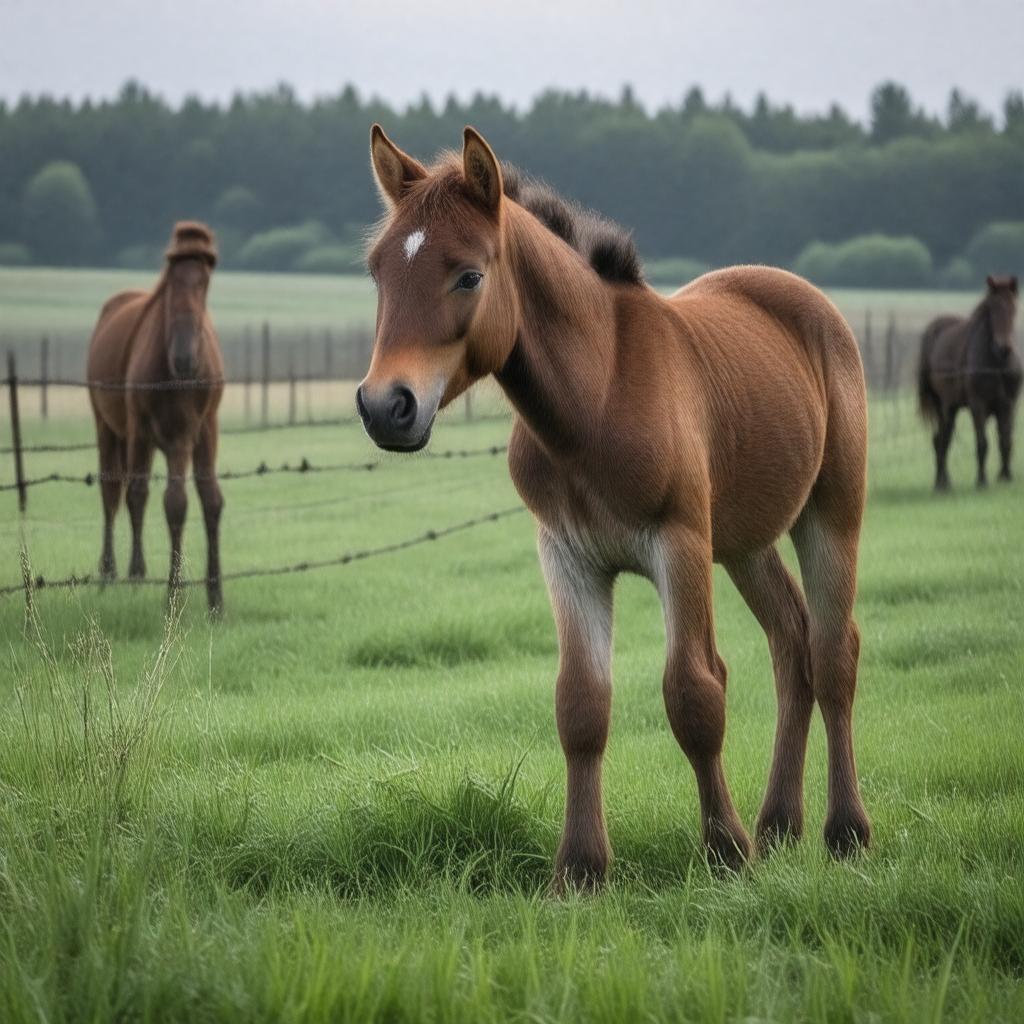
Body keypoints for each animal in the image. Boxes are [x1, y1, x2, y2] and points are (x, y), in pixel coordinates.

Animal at [86, 221, 225, 614]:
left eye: (206, 276)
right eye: (172, 272)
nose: (184, 357)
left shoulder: (201, 431)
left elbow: (209, 500)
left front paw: (215, 597)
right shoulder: (147, 432)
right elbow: (162, 499)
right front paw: (170, 591)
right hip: (112, 429)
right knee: (115, 491)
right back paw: (115, 572)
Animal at [357, 125, 871, 887]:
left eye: (469, 275)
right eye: (378, 272)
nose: (385, 407)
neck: (595, 399)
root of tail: (800, 294)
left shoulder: (679, 543)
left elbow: (695, 693)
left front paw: (725, 852)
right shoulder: (567, 555)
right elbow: (581, 705)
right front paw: (580, 870)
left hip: (831, 511)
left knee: (833, 653)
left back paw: (845, 832)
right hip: (745, 542)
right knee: (791, 645)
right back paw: (780, 825)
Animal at [918, 276, 1020, 490]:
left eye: (1013, 307)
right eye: (992, 308)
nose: (1003, 348)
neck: (996, 364)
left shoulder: (1009, 405)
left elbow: (1006, 440)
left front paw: (1005, 477)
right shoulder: (978, 406)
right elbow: (983, 443)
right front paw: (982, 480)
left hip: (952, 407)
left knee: (942, 439)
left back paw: (944, 481)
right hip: (942, 406)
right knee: (941, 439)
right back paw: (941, 483)